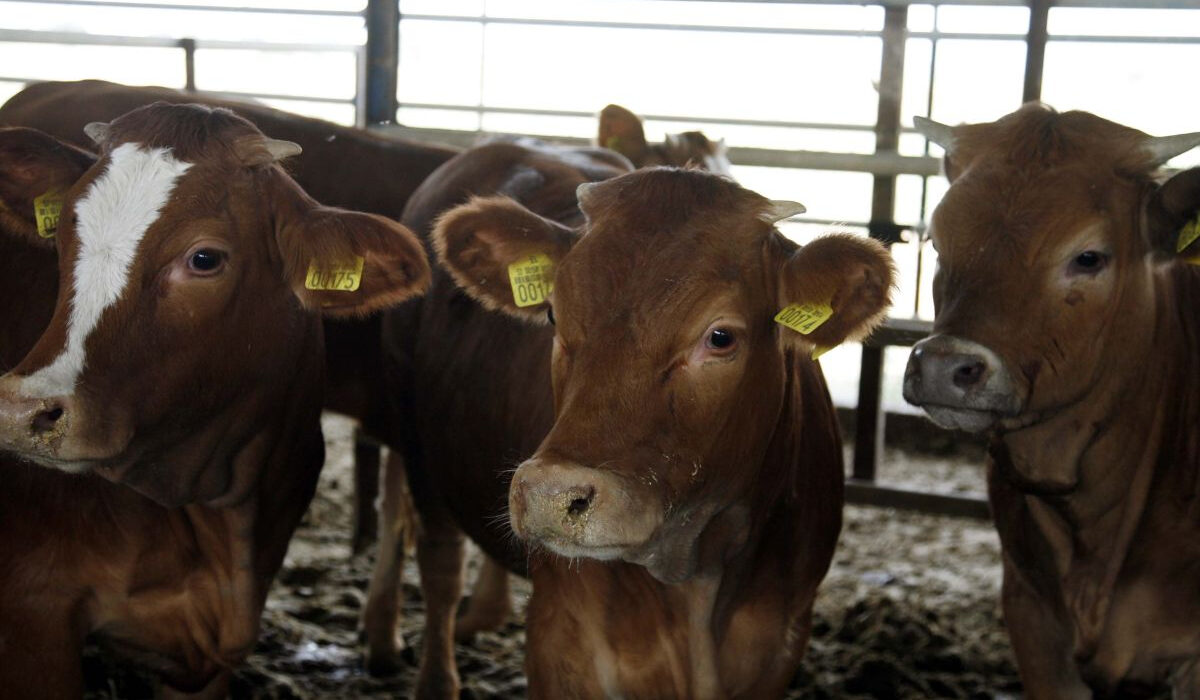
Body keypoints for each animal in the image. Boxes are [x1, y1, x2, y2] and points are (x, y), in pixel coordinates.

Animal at [369, 134, 897, 696]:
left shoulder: (780, 643)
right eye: (553, 313)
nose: (551, 495)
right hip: (417, 441)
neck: (697, 581)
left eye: (720, 337)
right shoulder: (561, 639)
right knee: (439, 563)